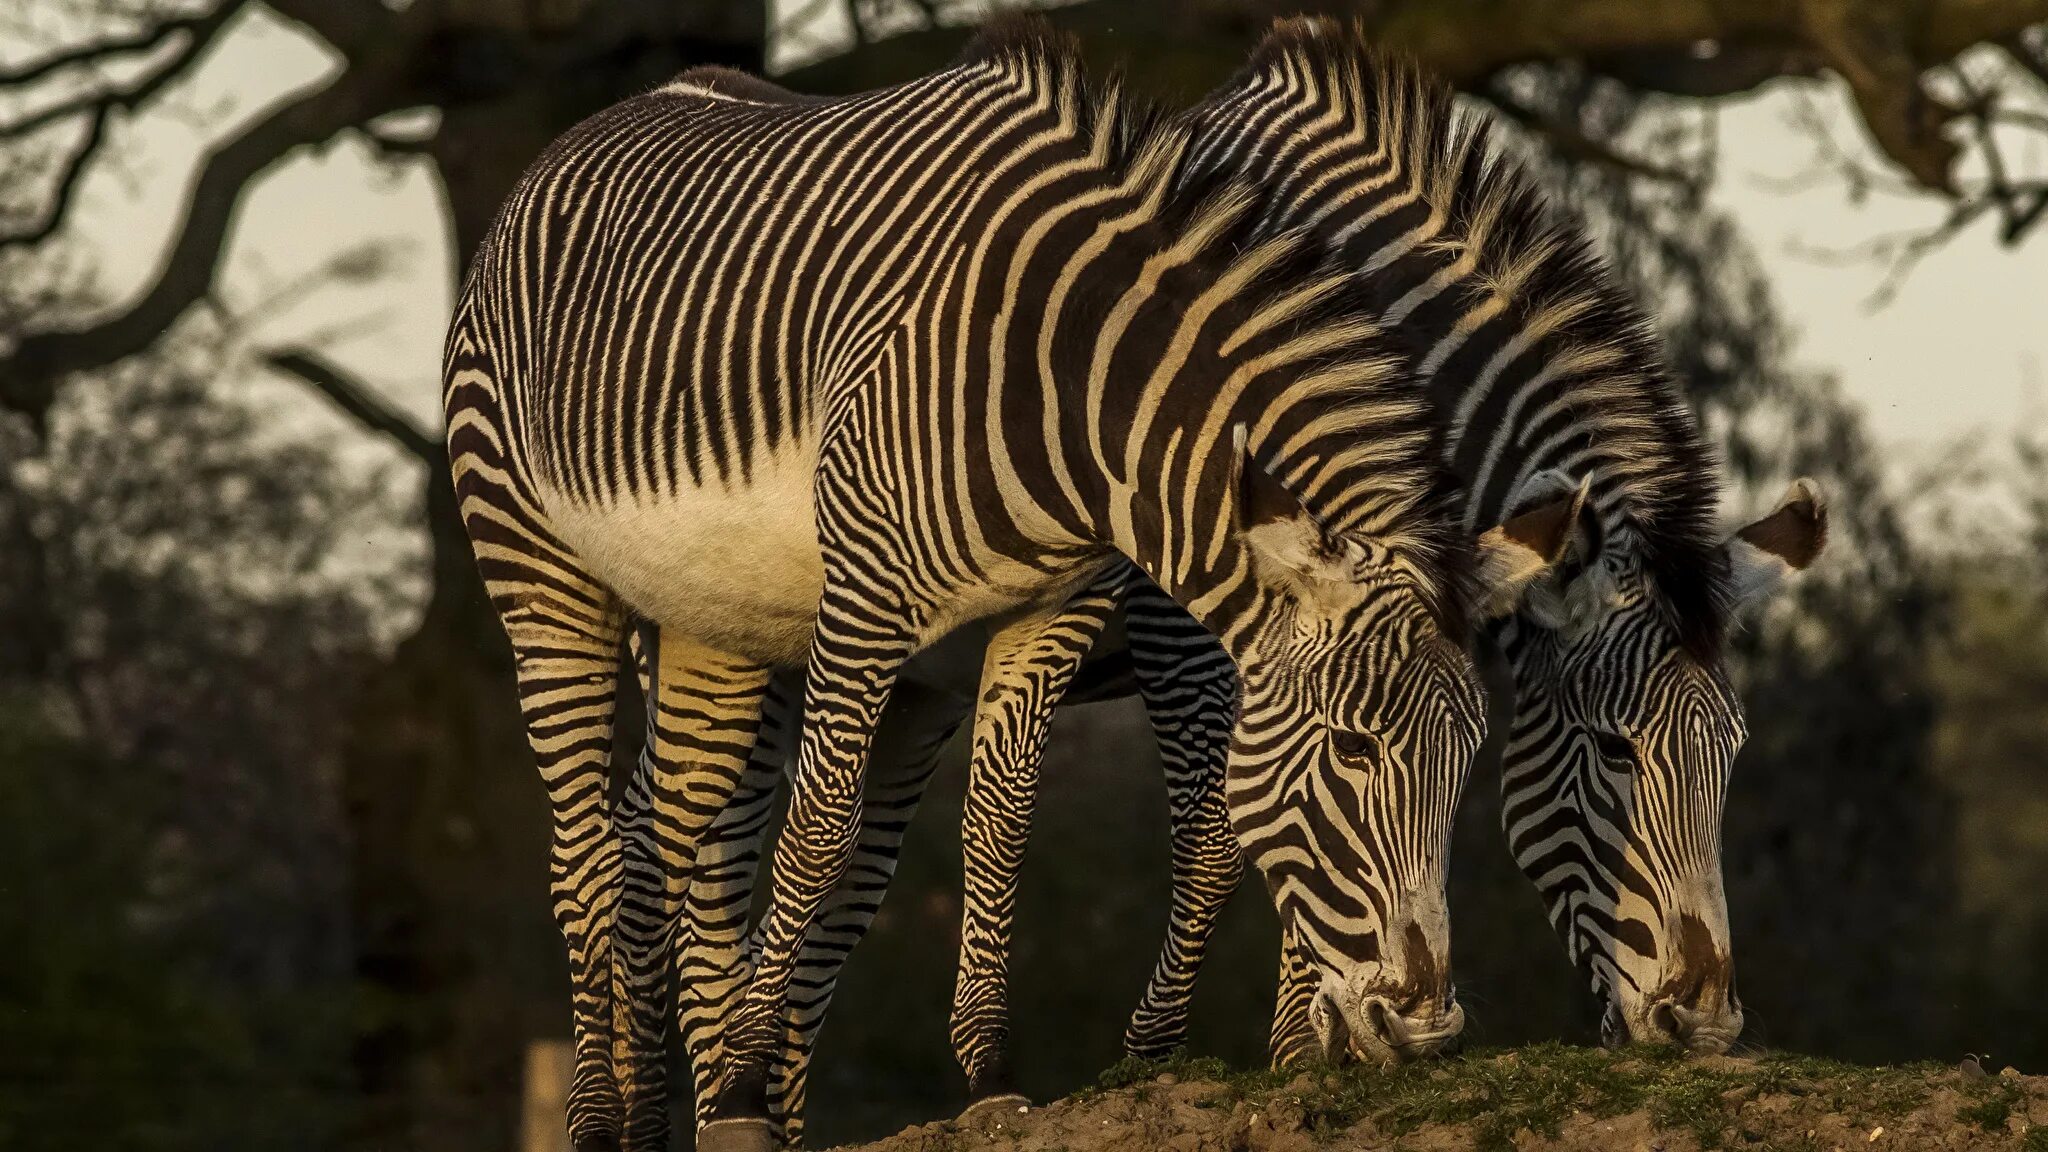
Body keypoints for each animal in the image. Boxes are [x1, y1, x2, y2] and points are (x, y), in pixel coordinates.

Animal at [443, 21, 1574, 1152]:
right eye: (1351, 748)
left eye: (1469, 758)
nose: (1424, 1027)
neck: (1079, 396)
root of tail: (592, 129)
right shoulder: (873, 595)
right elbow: (818, 836)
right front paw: (746, 1085)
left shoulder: (1051, 609)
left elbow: (998, 826)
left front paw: (986, 1073)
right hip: (544, 582)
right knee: (588, 857)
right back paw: (611, 1114)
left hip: (714, 628)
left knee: (654, 845)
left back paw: (655, 1116)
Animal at [657, 15, 1833, 1137]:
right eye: (1612, 751)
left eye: (1729, 756)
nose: (1704, 1027)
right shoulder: (1192, 617)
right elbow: (1233, 826)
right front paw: (1189, 1051)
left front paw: (1318, 1044)